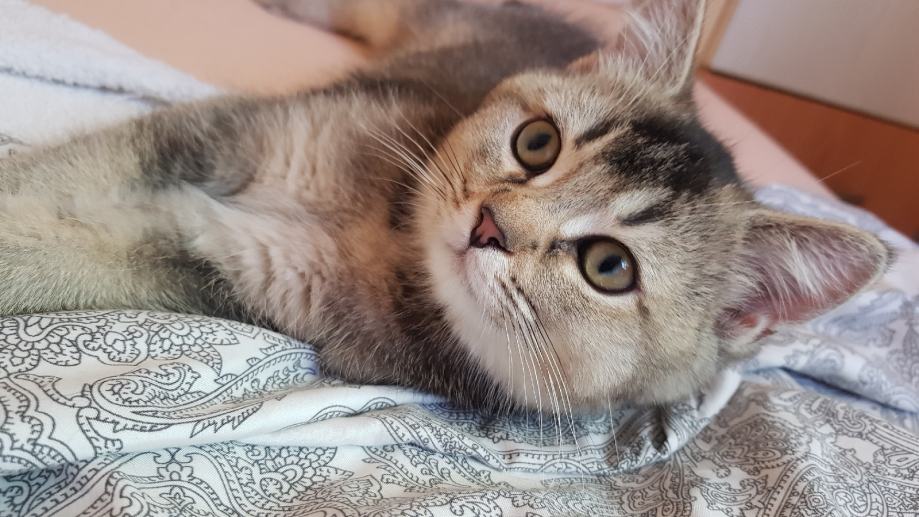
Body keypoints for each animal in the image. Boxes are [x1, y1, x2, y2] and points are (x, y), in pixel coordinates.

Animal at [0, 0, 891, 415]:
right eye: (536, 143)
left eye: (609, 266)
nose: (492, 225)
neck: (386, 237)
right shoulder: (213, 139)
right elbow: (60, 176)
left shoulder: (229, 257)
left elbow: (62, 247)